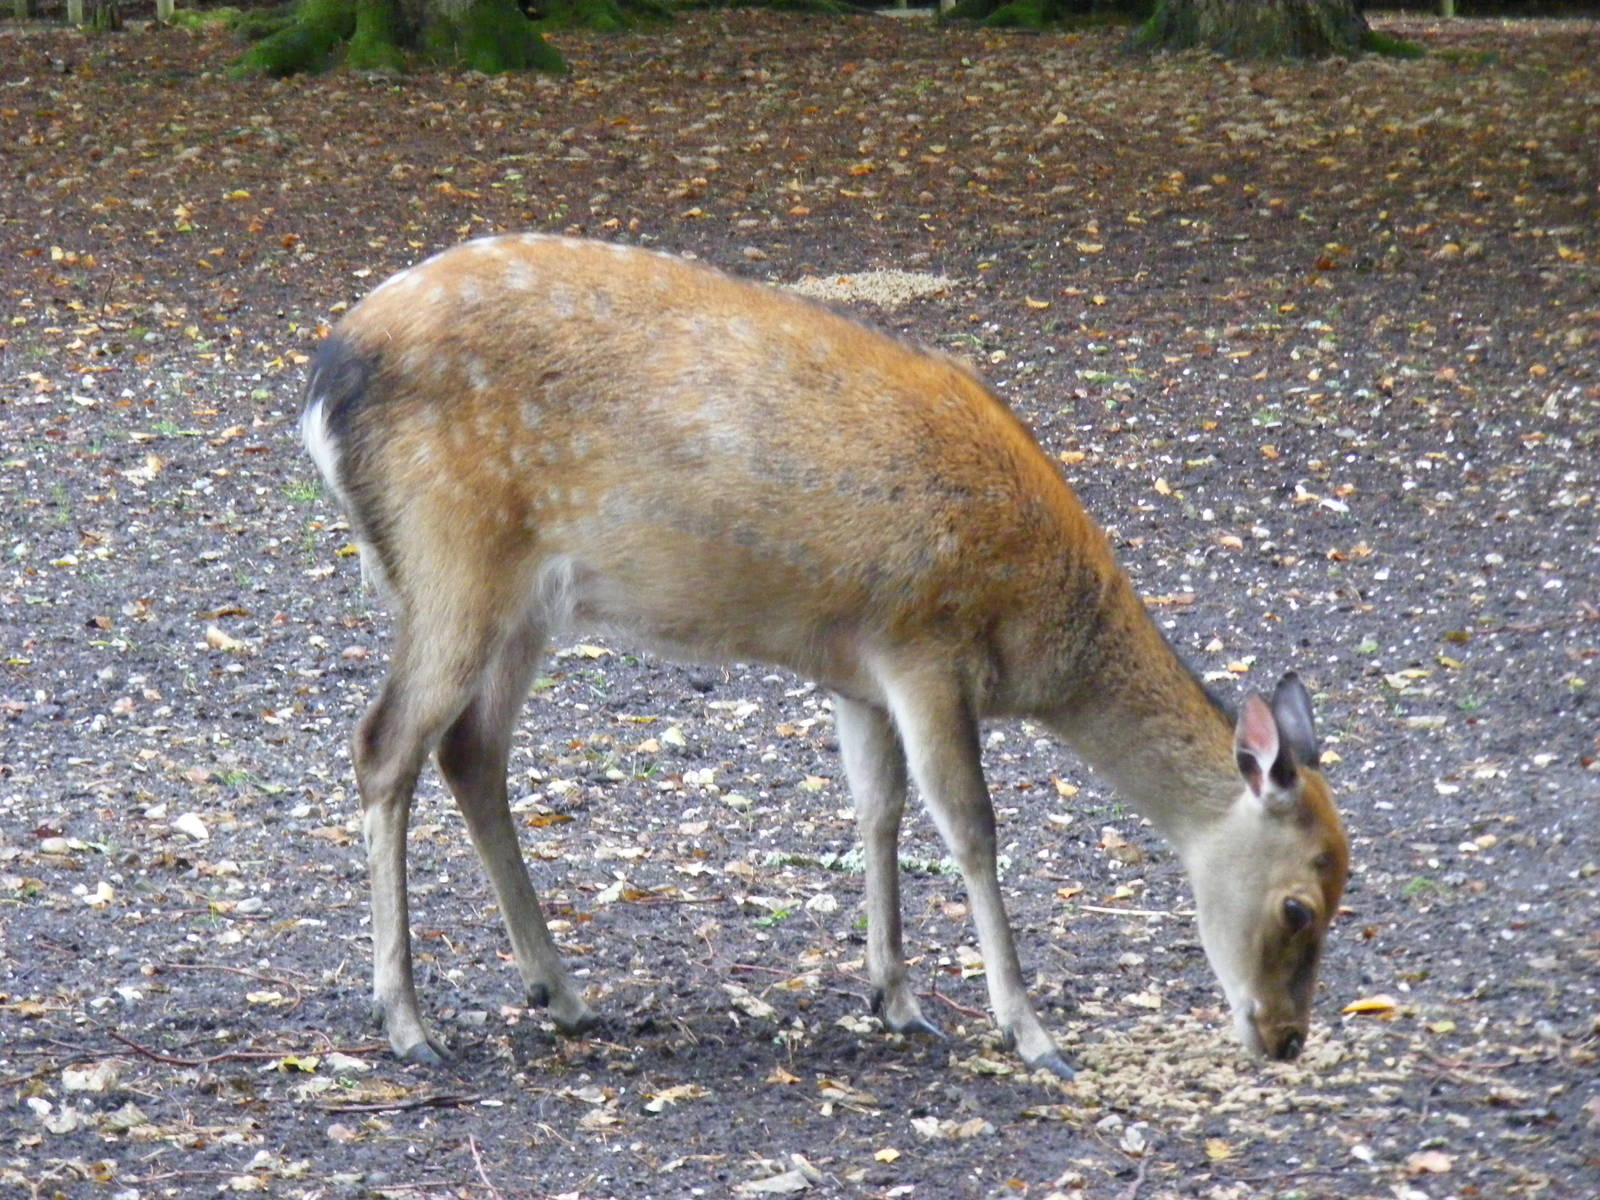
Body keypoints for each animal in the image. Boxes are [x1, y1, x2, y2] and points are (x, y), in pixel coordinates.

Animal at [301, 234, 1350, 1077]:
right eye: (1300, 906)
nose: (1287, 1038)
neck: (1036, 634)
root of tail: (321, 387)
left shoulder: (860, 670)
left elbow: (877, 811)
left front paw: (898, 999)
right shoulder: (927, 643)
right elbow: (970, 828)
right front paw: (1031, 1035)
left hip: (525, 604)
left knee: (470, 750)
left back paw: (560, 992)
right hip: (452, 556)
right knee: (382, 744)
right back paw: (407, 1022)